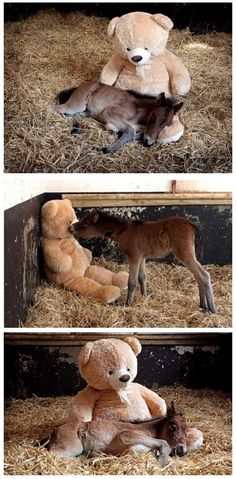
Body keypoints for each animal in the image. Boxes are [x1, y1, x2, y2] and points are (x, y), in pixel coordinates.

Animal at [49, 404, 188, 466]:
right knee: (52, 454)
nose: (183, 450)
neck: (148, 429)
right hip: (73, 447)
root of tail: (54, 431)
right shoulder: (125, 435)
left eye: (187, 432)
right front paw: (163, 461)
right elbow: (163, 443)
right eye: (173, 426)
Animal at [54, 80, 183, 152]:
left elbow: (136, 133)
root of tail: (79, 86)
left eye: (166, 125)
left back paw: (76, 127)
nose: (148, 144)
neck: (139, 110)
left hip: (85, 112)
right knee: (56, 109)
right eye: (153, 118)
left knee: (72, 115)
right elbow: (130, 131)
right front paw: (106, 149)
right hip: (77, 105)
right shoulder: (111, 112)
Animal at [69, 212, 217, 314]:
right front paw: (145, 297)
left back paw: (212, 309)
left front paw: (128, 303)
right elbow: (142, 277)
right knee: (198, 276)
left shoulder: (134, 256)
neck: (124, 231)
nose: (70, 228)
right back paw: (202, 306)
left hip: (184, 254)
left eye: (84, 225)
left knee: (204, 275)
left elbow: (132, 281)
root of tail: (192, 226)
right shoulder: (142, 257)